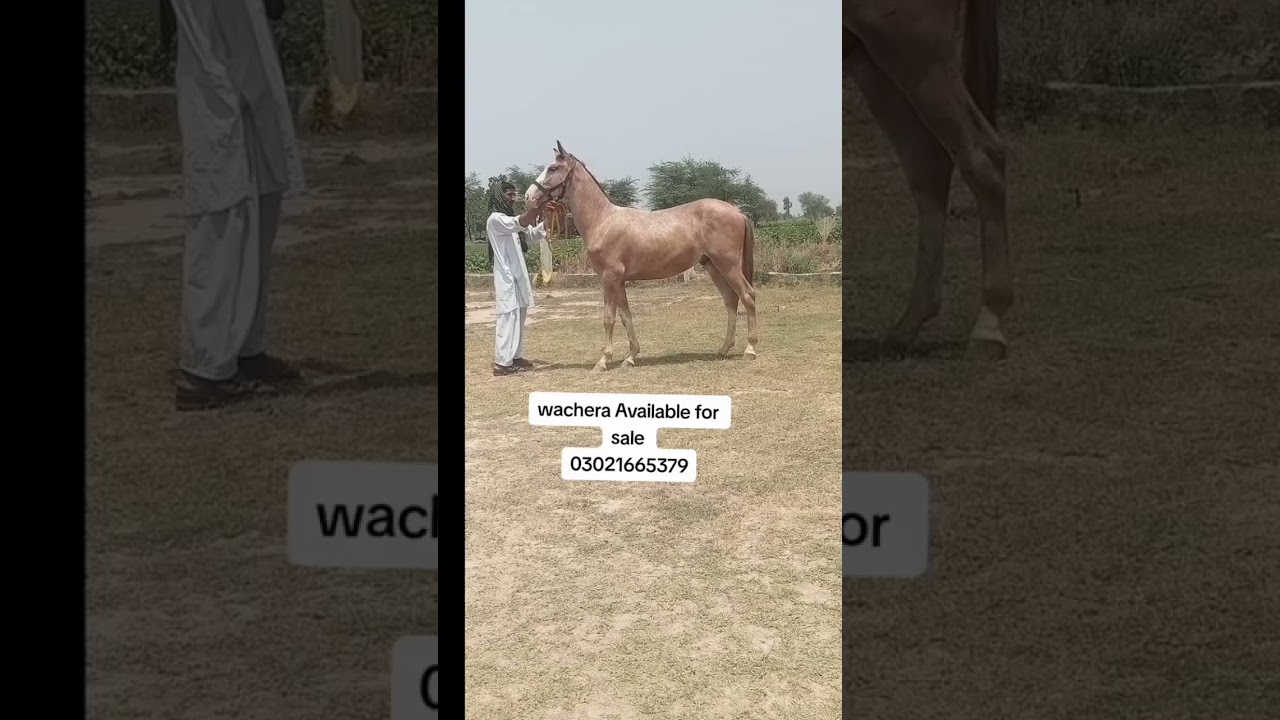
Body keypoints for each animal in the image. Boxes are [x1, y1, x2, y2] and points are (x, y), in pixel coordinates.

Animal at [525, 141, 759, 372]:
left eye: (553, 168)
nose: (528, 196)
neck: (602, 221)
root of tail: (737, 212)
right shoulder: (619, 281)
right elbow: (625, 317)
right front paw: (630, 357)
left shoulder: (609, 278)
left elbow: (608, 318)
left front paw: (603, 361)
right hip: (713, 266)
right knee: (730, 300)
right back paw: (723, 349)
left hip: (728, 265)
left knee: (748, 296)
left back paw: (750, 349)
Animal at [845, 0, 1012, 360]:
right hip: (871, 59)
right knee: (927, 161)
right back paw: (908, 324)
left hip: (915, 49)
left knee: (980, 156)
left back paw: (988, 325)